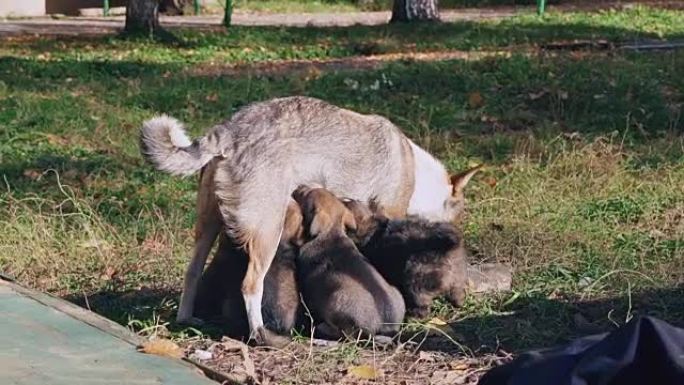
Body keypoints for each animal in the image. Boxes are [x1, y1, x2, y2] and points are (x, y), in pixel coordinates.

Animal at [290, 187, 406, 340]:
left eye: (305, 195)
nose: (298, 188)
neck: (331, 232)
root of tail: (385, 328)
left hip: (337, 300)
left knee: (347, 334)